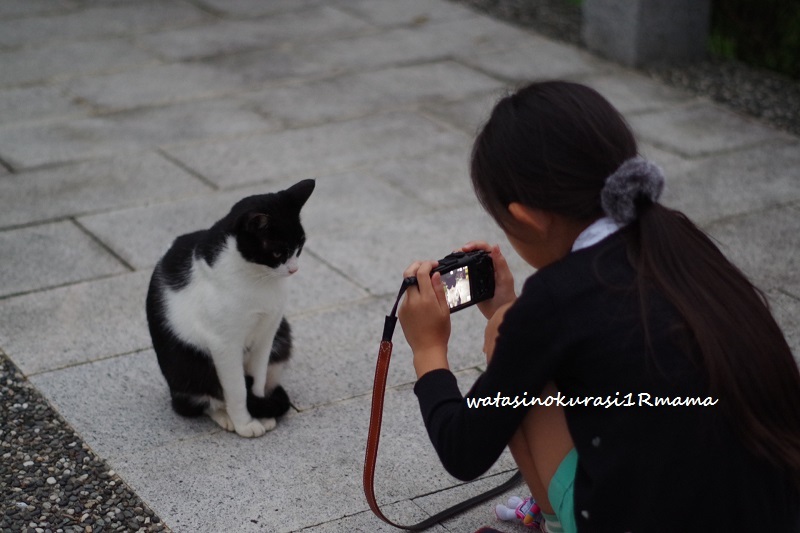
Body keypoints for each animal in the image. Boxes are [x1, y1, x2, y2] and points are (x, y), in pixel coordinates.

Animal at [145, 179, 314, 436]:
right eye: (277, 252)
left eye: (300, 245)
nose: (294, 269)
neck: (259, 278)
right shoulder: (224, 343)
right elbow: (237, 390)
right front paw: (245, 423)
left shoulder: (268, 332)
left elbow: (257, 379)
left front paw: (260, 410)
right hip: (187, 366)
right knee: (200, 399)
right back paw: (224, 416)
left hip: (282, 336)